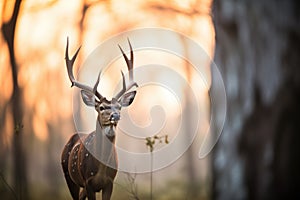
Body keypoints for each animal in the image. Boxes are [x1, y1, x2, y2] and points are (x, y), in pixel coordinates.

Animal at [61, 38, 138, 200]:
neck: (101, 168)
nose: (116, 115)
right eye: (101, 107)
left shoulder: (109, 182)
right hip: (68, 175)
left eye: (119, 107)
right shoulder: (88, 181)